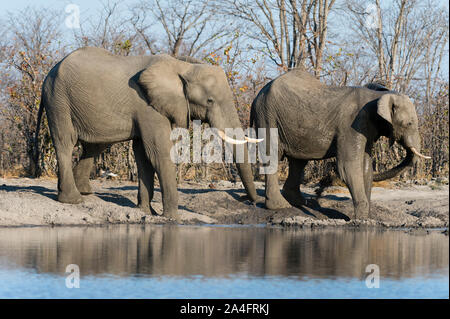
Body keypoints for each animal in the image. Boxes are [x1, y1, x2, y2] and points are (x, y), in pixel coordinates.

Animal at [34, 47, 260, 220]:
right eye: (210, 100)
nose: (252, 201)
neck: (181, 67)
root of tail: (49, 72)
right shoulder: (148, 106)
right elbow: (158, 152)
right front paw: (171, 218)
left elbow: (143, 155)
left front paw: (146, 212)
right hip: (58, 100)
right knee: (65, 142)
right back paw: (73, 199)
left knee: (94, 146)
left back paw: (83, 191)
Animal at [251, 69, 430, 220]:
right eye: (409, 124)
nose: (324, 183)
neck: (378, 95)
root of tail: (257, 97)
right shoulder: (352, 124)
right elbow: (348, 166)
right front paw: (360, 219)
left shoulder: (366, 127)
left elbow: (365, 166)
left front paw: (366, 217)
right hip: (268, 116)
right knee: (272, 155)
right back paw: (280, 206)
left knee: (298, 162)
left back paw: (300, 203)